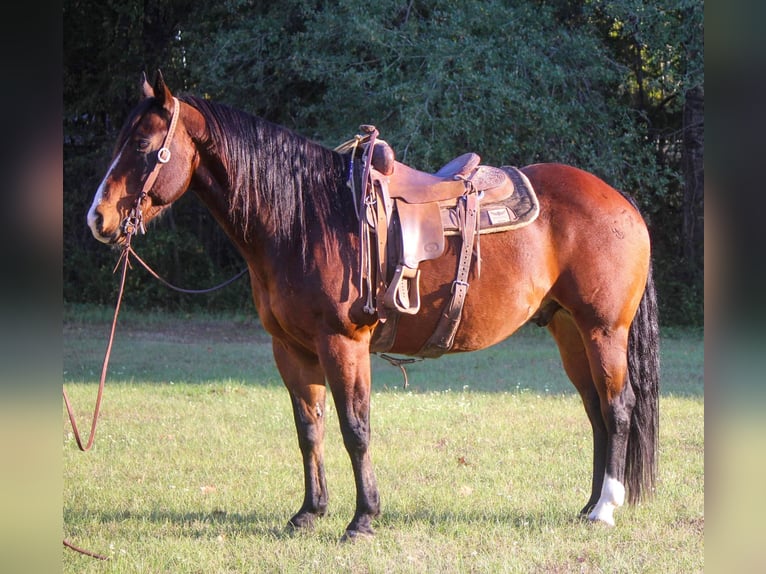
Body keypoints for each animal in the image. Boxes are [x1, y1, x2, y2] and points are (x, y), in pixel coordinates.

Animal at [85, 71, 660, 540]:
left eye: (143, 144)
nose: (98, 219)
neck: (305, 218)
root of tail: (621, 201)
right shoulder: (290, 349)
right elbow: (309, 428)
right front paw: (309, 513)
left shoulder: (343, 343)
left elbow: (354, 429)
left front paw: (362, 519)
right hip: (569, 331)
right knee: (595, 412)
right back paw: (587, 506)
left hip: (603, 331)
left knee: (618, 407)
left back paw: (605, 509)